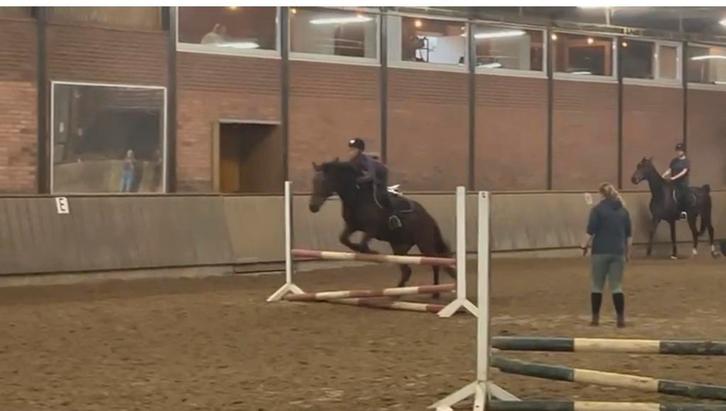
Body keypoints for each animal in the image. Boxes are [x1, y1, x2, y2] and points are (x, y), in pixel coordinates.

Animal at [308, 160, 456, 295]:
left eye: (323, 182)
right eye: (313, 182)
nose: (312, 207)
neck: (357, 197)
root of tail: (429, 217)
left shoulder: (372, 229)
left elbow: (362, 244)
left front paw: (373, 253)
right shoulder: (352, 226)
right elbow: (344, 239)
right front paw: (361, 250)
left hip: (424, 243)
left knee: (436, 263)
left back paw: (435, 293)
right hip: (399, 246)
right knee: (407, 270)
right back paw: (396, 292)